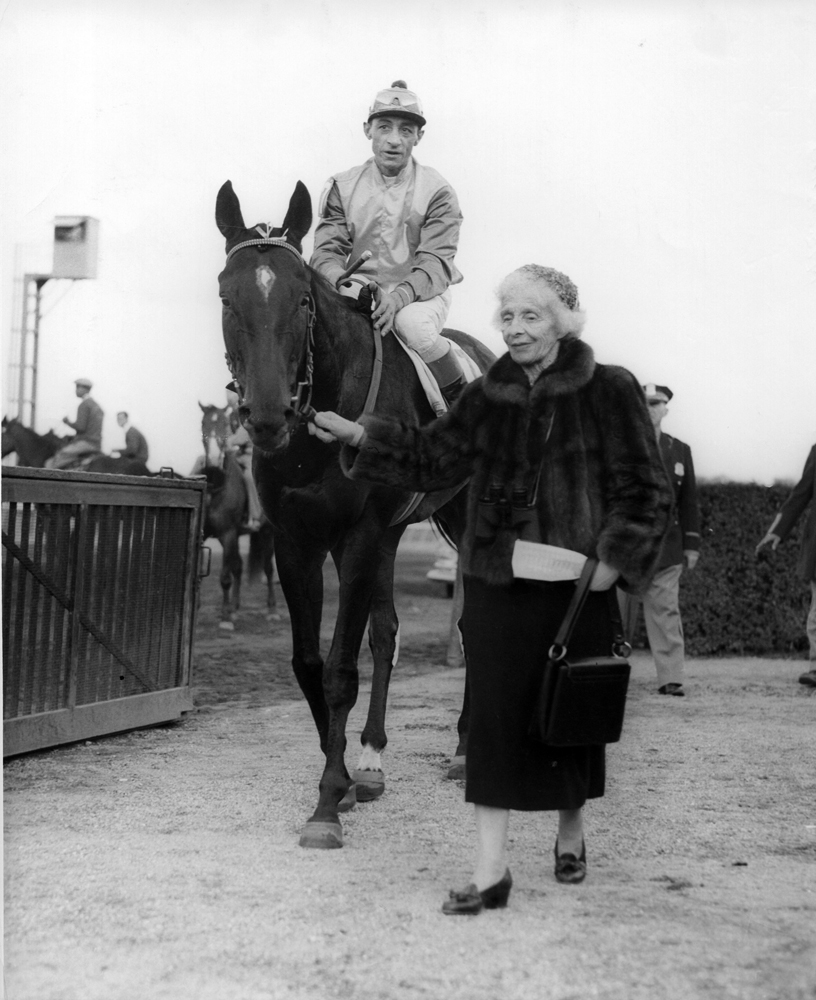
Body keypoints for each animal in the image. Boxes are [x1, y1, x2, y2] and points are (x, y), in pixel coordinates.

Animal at [197, 404, 278, 624]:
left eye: (225, 424)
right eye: (203, 423)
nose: (214, 458)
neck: (215, 485)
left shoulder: (229, 534)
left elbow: (225, 577)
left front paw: (225, 617)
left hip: (266, 533)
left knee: (268, 568)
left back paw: (272, 609)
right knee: (239, 567)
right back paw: (235, 606)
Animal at [217, 178, 494, 844]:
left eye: (301, 300)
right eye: (227, 296)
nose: (268, 414)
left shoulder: (358, 535)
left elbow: (342, 668)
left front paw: (326, 801)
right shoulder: (297, 540)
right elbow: (310, 662)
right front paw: (343, 771)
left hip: (466, 522)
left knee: (467, 628)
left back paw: (463, 750)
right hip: (395, 535)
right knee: (387, 633)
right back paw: (371, 757)